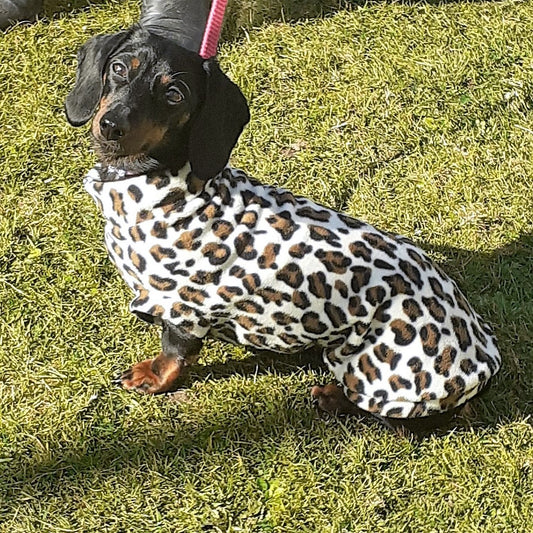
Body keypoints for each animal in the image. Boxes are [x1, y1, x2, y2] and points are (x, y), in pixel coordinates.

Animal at [64, 26, 500, 432]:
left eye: (174, 94)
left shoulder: (183, 306)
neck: (161, 181)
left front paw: (153, 377)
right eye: (119, 68)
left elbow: (175, 352)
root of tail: (485, 366)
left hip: (372, 366)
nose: (111, 125)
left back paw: (334, 397)